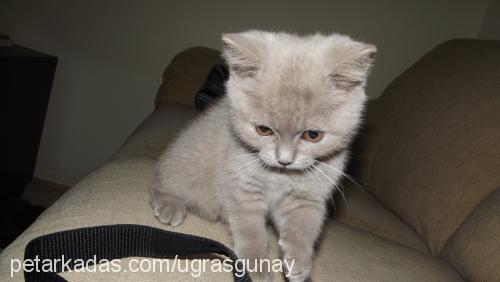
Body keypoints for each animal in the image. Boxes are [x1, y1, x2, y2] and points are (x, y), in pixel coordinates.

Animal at [150, 30, 376, 282]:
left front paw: (298, 261)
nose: (284, 159)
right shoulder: (241, 188)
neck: (280, 177)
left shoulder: (308, 196)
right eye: (263, 130)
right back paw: (170, 206)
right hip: (185, 166)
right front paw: (256, 268)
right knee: (159, 185)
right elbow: (250, 231)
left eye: (313, 135)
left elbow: (304, 225)